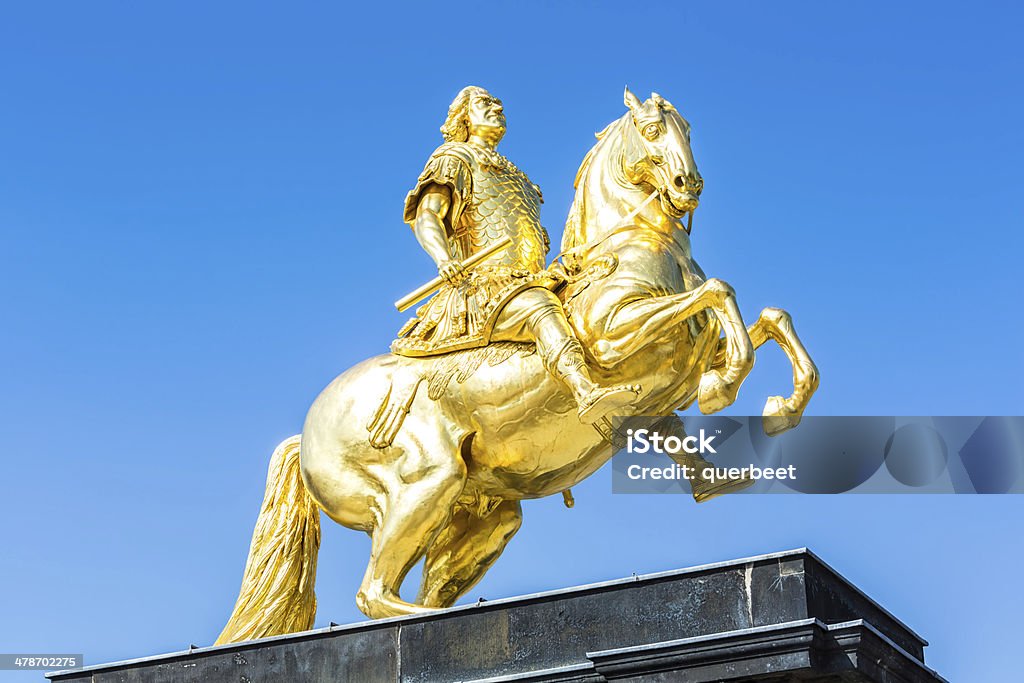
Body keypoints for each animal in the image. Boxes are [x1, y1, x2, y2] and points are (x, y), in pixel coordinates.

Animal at [218, 88, 823, 643]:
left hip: (481, 517)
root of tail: (304, 433)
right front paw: (725, 387)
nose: (687, 186)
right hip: (424, 482)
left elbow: (769, 317)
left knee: (418, 586)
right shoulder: (613, 338)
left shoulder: (684, 357)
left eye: (689, 129)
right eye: (653, 130)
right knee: (375, 595)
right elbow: (720, 293)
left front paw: (781, 407)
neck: (633, 247)